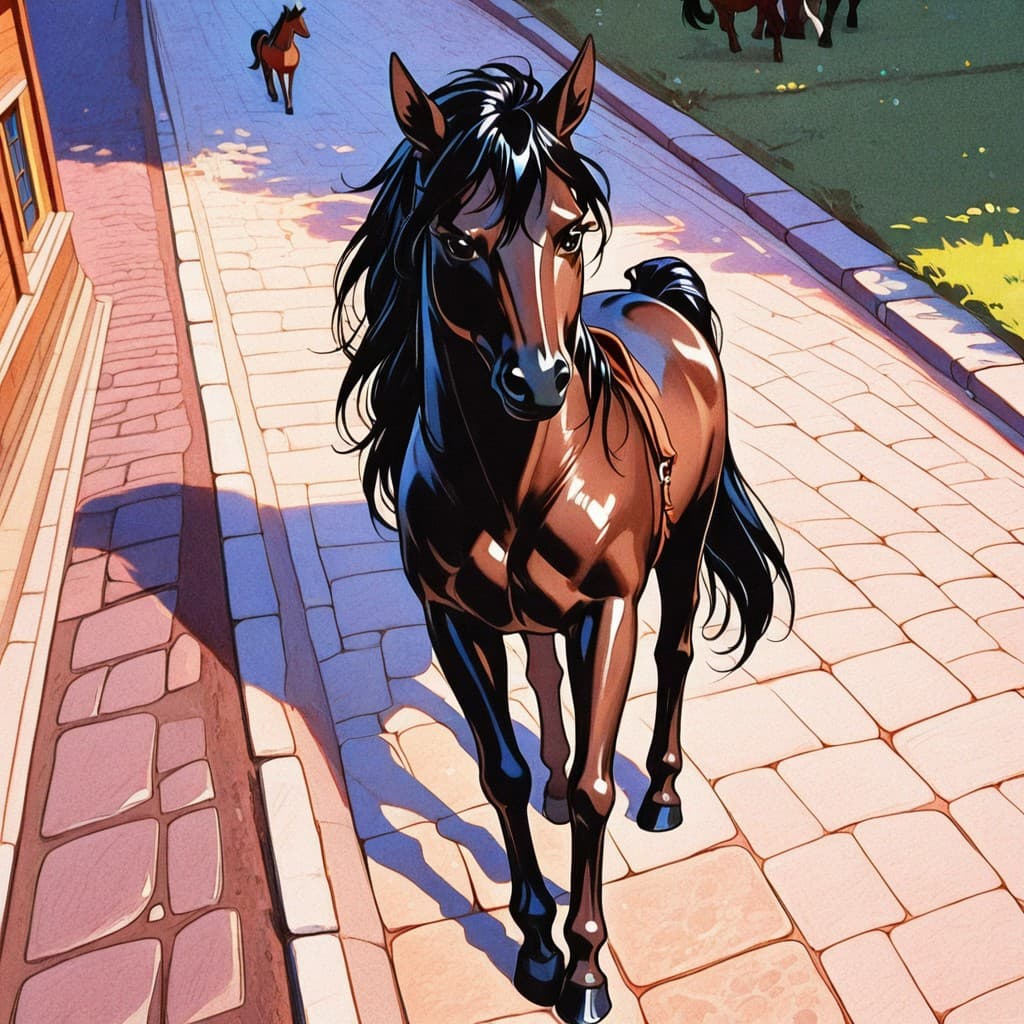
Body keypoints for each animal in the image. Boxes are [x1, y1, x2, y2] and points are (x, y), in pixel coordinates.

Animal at [333, 38, 792, 1024]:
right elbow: (497, 771)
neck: (514, 479)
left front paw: (584, 971)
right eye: (457, 239)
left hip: (686, 541)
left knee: (675, 654)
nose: (537, 380)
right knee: (542, 678)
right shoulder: (452, 620)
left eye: (572, 230)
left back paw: (663, 795)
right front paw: (536, 947)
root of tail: (662, 299)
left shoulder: (607, 611)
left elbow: (594, 784)